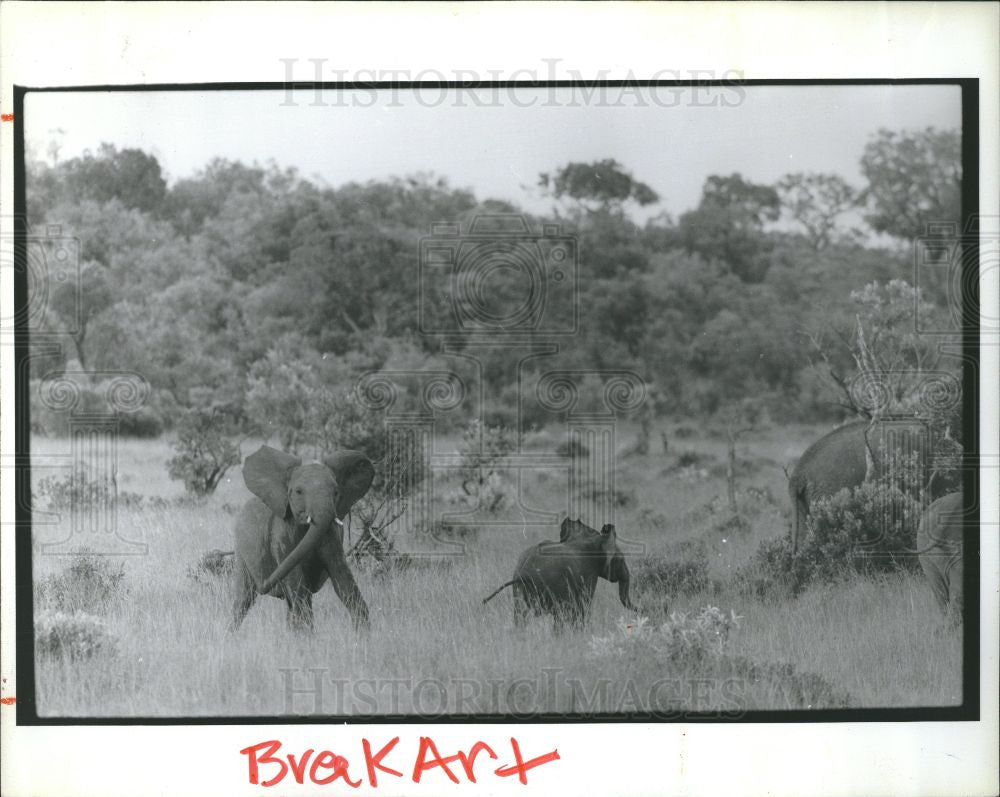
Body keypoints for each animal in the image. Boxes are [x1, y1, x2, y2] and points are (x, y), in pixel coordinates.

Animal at [229, 444, 376, 632]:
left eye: (336, 492)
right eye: (298, 491)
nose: (264, 586)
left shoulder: (332, 534)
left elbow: (342, 576)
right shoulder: (280, 534)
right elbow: (296, 583)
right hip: (241, 551)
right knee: (243, 599)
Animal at [480, 520, 636, 632]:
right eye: (620, 560)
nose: (640, 610)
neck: (596, 540)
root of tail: (523, 572)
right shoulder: (589, 575)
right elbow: (583, 608)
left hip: (521, 589)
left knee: (521, 615)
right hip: (555, 585)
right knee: (559, 617)